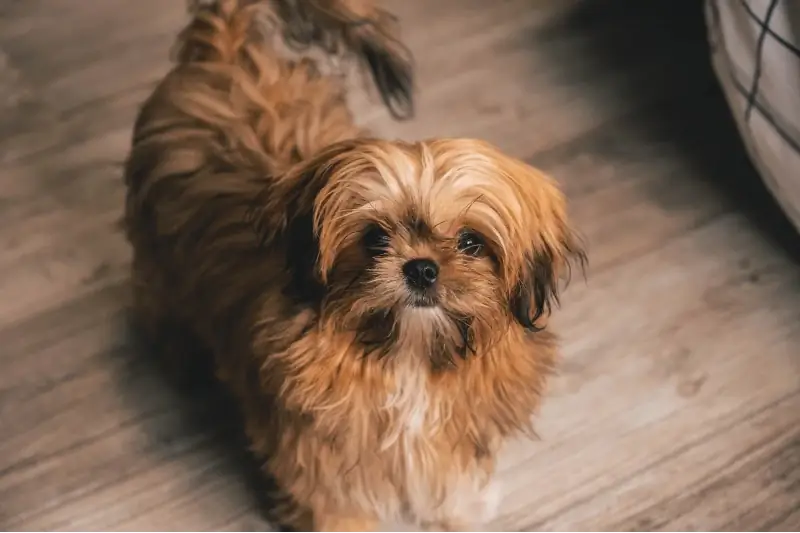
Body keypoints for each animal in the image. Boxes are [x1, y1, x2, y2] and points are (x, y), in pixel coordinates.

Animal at [125, 2, 588, 528]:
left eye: (471, 242)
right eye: (374, 238)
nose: (422, 268)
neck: (408, 359)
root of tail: (223, 53)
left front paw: (459, 510)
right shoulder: (323, 464)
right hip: (158, 259)